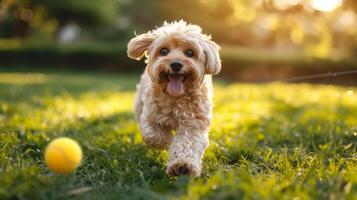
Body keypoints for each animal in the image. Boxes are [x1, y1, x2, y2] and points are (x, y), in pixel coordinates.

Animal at [125, 20, 220, 177]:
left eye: (190, 53)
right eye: (164, 51)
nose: (176, 64)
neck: (175, 97)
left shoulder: (193, 124)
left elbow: (187, 143)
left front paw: (183, 166)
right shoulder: (150, 115)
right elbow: (153, 135)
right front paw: (167, 142)